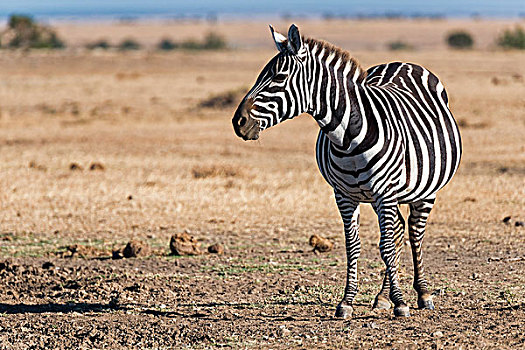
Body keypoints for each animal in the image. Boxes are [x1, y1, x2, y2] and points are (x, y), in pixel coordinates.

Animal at [231, 24, 460, 318]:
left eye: (278, 77)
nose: (238, 122)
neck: (349, 137)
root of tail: (404, 63)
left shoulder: (385, 194)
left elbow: (386, 246)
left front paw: (400, 303)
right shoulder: (344, 195)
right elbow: (354, 246)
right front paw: (348, 301)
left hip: (425, 191)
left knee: (413, 233)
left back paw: (422, 294)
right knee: (398, 230)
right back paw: (382, 296)